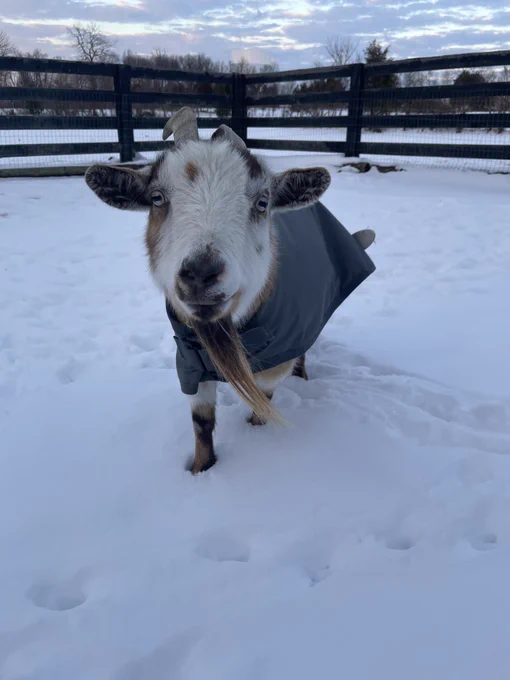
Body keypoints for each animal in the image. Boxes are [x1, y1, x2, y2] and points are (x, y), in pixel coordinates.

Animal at [85, 108, 375, 474]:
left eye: (263, 202)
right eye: (157, 198)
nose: (200, 273)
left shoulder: (270, 369)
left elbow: (261, 411)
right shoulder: (189, 365)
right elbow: (201, 423)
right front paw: (200, 471)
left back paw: (303, 375)